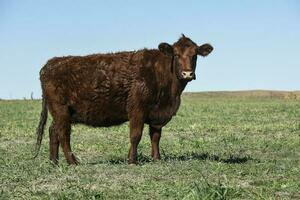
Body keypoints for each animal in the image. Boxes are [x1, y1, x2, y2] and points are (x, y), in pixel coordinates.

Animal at [34, 34, 213, 165]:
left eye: (195, 55)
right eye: (176, 54)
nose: (187, 73)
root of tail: (50, 64)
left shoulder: (158, 114)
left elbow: (155, 136)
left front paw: (156, 159)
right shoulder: (137, 108)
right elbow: (136, 135)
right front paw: (132, 160)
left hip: (60, 113)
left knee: (53, 131)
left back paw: (54, 161)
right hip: (61, 110)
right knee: (63, 134)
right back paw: (73, 161)